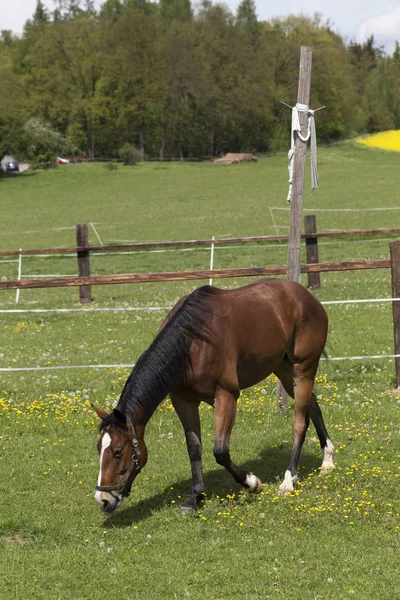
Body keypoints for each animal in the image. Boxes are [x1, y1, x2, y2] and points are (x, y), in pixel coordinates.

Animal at [94, 278, 334, 512]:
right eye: (99, 448)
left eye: (117, 451)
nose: (103, 499)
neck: (192, 344)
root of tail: (307, 297)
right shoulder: (183, 401)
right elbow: (194, 448)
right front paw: (196, 497)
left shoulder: (226, 396)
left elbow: (220, 451)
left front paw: (251, 482)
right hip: (284, 369)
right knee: (313, 405)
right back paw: (328, 461)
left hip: (303, 368)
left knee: (299, 423)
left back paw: (288, 480)